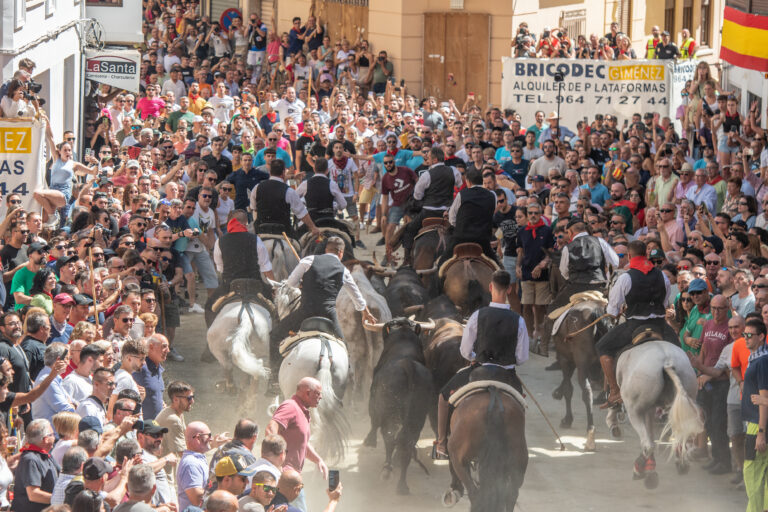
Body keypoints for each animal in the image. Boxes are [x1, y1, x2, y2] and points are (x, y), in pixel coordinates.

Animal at [608, 340, 704, 488]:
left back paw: (640, 470)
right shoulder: (651, 409)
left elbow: (649, 437)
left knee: (647, 445)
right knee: (678, 435)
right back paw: (679, 463)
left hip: (634, 410)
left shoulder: (645, 409)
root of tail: (667, 361)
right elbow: (651, 433)